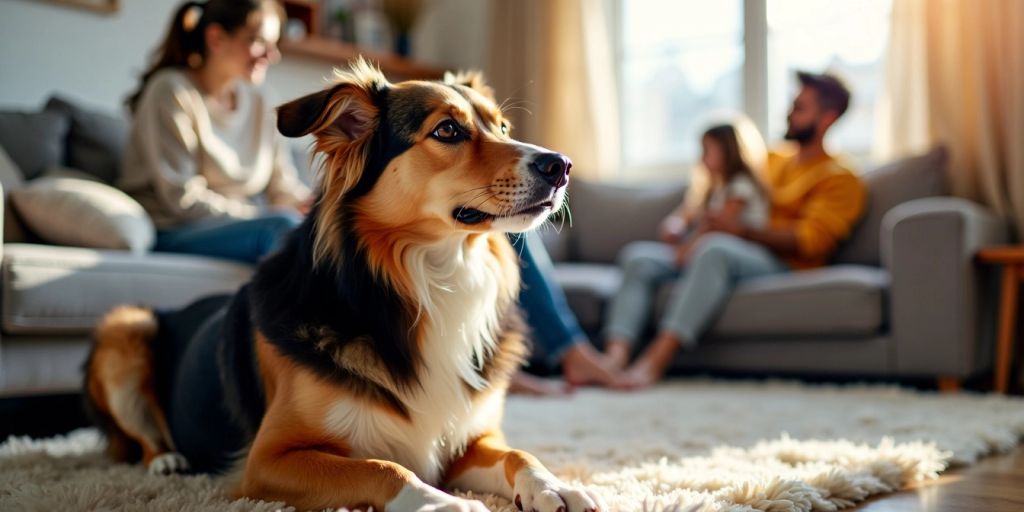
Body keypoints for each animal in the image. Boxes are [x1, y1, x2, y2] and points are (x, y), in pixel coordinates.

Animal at [86, 60, 606, 512]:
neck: (431, 277)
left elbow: (519, 454)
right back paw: (167, 460)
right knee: (139, 438)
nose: (560, 165)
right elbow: (383, 468)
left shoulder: (469, 440)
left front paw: (555, 486)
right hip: (126, 326)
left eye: (503, 128)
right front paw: (445, 503)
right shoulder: (269, 459)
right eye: (447, 131)